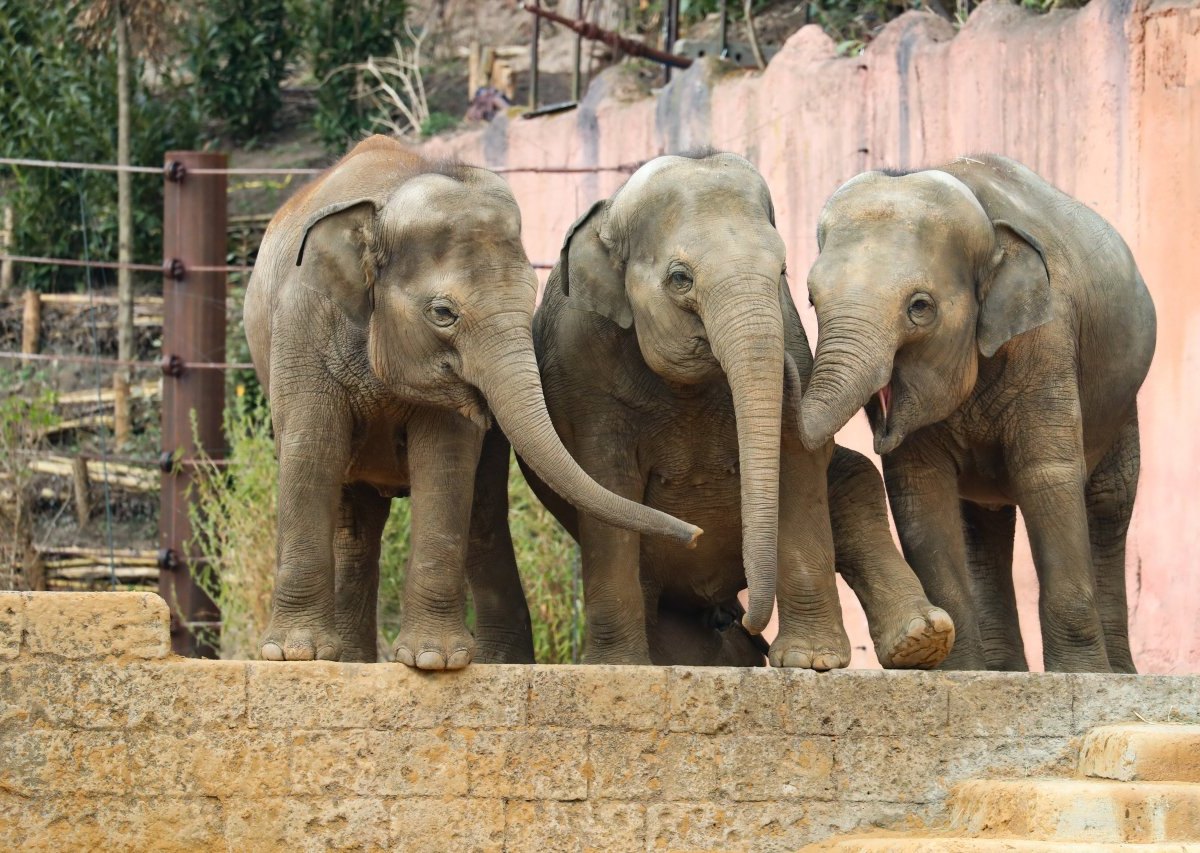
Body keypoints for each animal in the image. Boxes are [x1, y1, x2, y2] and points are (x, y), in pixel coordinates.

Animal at [243, 134, 700, 667]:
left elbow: (445, 459)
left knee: (479, 505)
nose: (696, 534)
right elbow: (311, 449)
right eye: (443, 313)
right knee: (354, 519)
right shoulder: (304, 324)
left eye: (530, 298)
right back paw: (345, 660)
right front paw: (292, 655)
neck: (387, 200)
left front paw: (432, 662)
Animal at [472, 153, 950, 671]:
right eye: (680, 278)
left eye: (783, 269)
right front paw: (619, 666)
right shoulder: (582, 372)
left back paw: (919, 638)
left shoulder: (791, 335)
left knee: (853, 480)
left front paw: (810, 661)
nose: (753, 627)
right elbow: (607, 481)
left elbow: (797, 465)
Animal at [801, 151, 1156, 671]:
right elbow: (920, 493)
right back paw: (1006, 671)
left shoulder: (1048, 340)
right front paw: (957, 671)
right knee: (983, 526)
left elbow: (1047, 475)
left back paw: (1119, 674)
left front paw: (1082, 676)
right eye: (811, 300)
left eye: (920, 308)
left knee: (1110, 501)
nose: (877, 436)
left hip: (1121, 400)